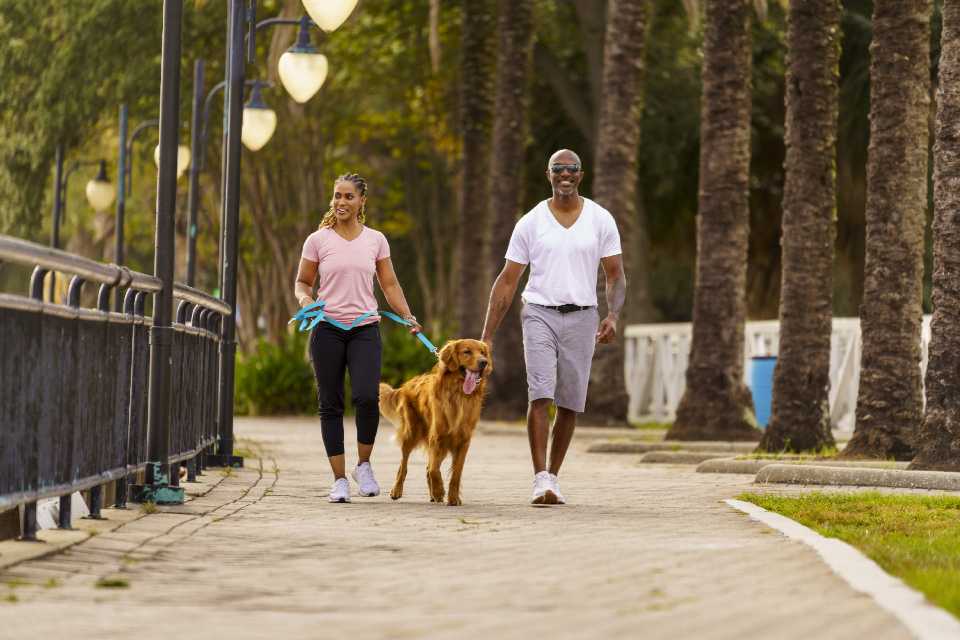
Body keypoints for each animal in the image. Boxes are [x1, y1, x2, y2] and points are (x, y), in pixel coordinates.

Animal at [376, 338, 496, 508]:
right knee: (404, 465)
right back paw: (397, 491)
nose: (484, 362)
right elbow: (433, 469)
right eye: (467, 352)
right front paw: (439, 491)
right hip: (411, 434)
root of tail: (408, 383)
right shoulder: (437, 437)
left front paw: (452, 498)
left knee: (428, 466)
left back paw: (433, 495)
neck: (458, 395)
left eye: (483, 353)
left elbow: (455, 473)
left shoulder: (463, 442)